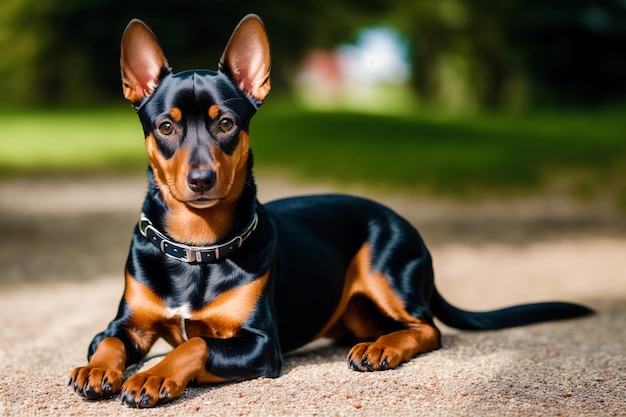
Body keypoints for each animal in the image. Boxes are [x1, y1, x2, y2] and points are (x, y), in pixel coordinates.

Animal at [68, 13, 588, 406]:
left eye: (227, 124)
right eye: (166, 127)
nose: (200, 180)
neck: (195, 247)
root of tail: (399, 219)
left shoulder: (261, 345)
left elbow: (195, 341)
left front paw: (153, 375)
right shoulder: (126, 325)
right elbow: (108, 341)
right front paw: (97, 370)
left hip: (386, 272)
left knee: (427, 329)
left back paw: (381, 349)